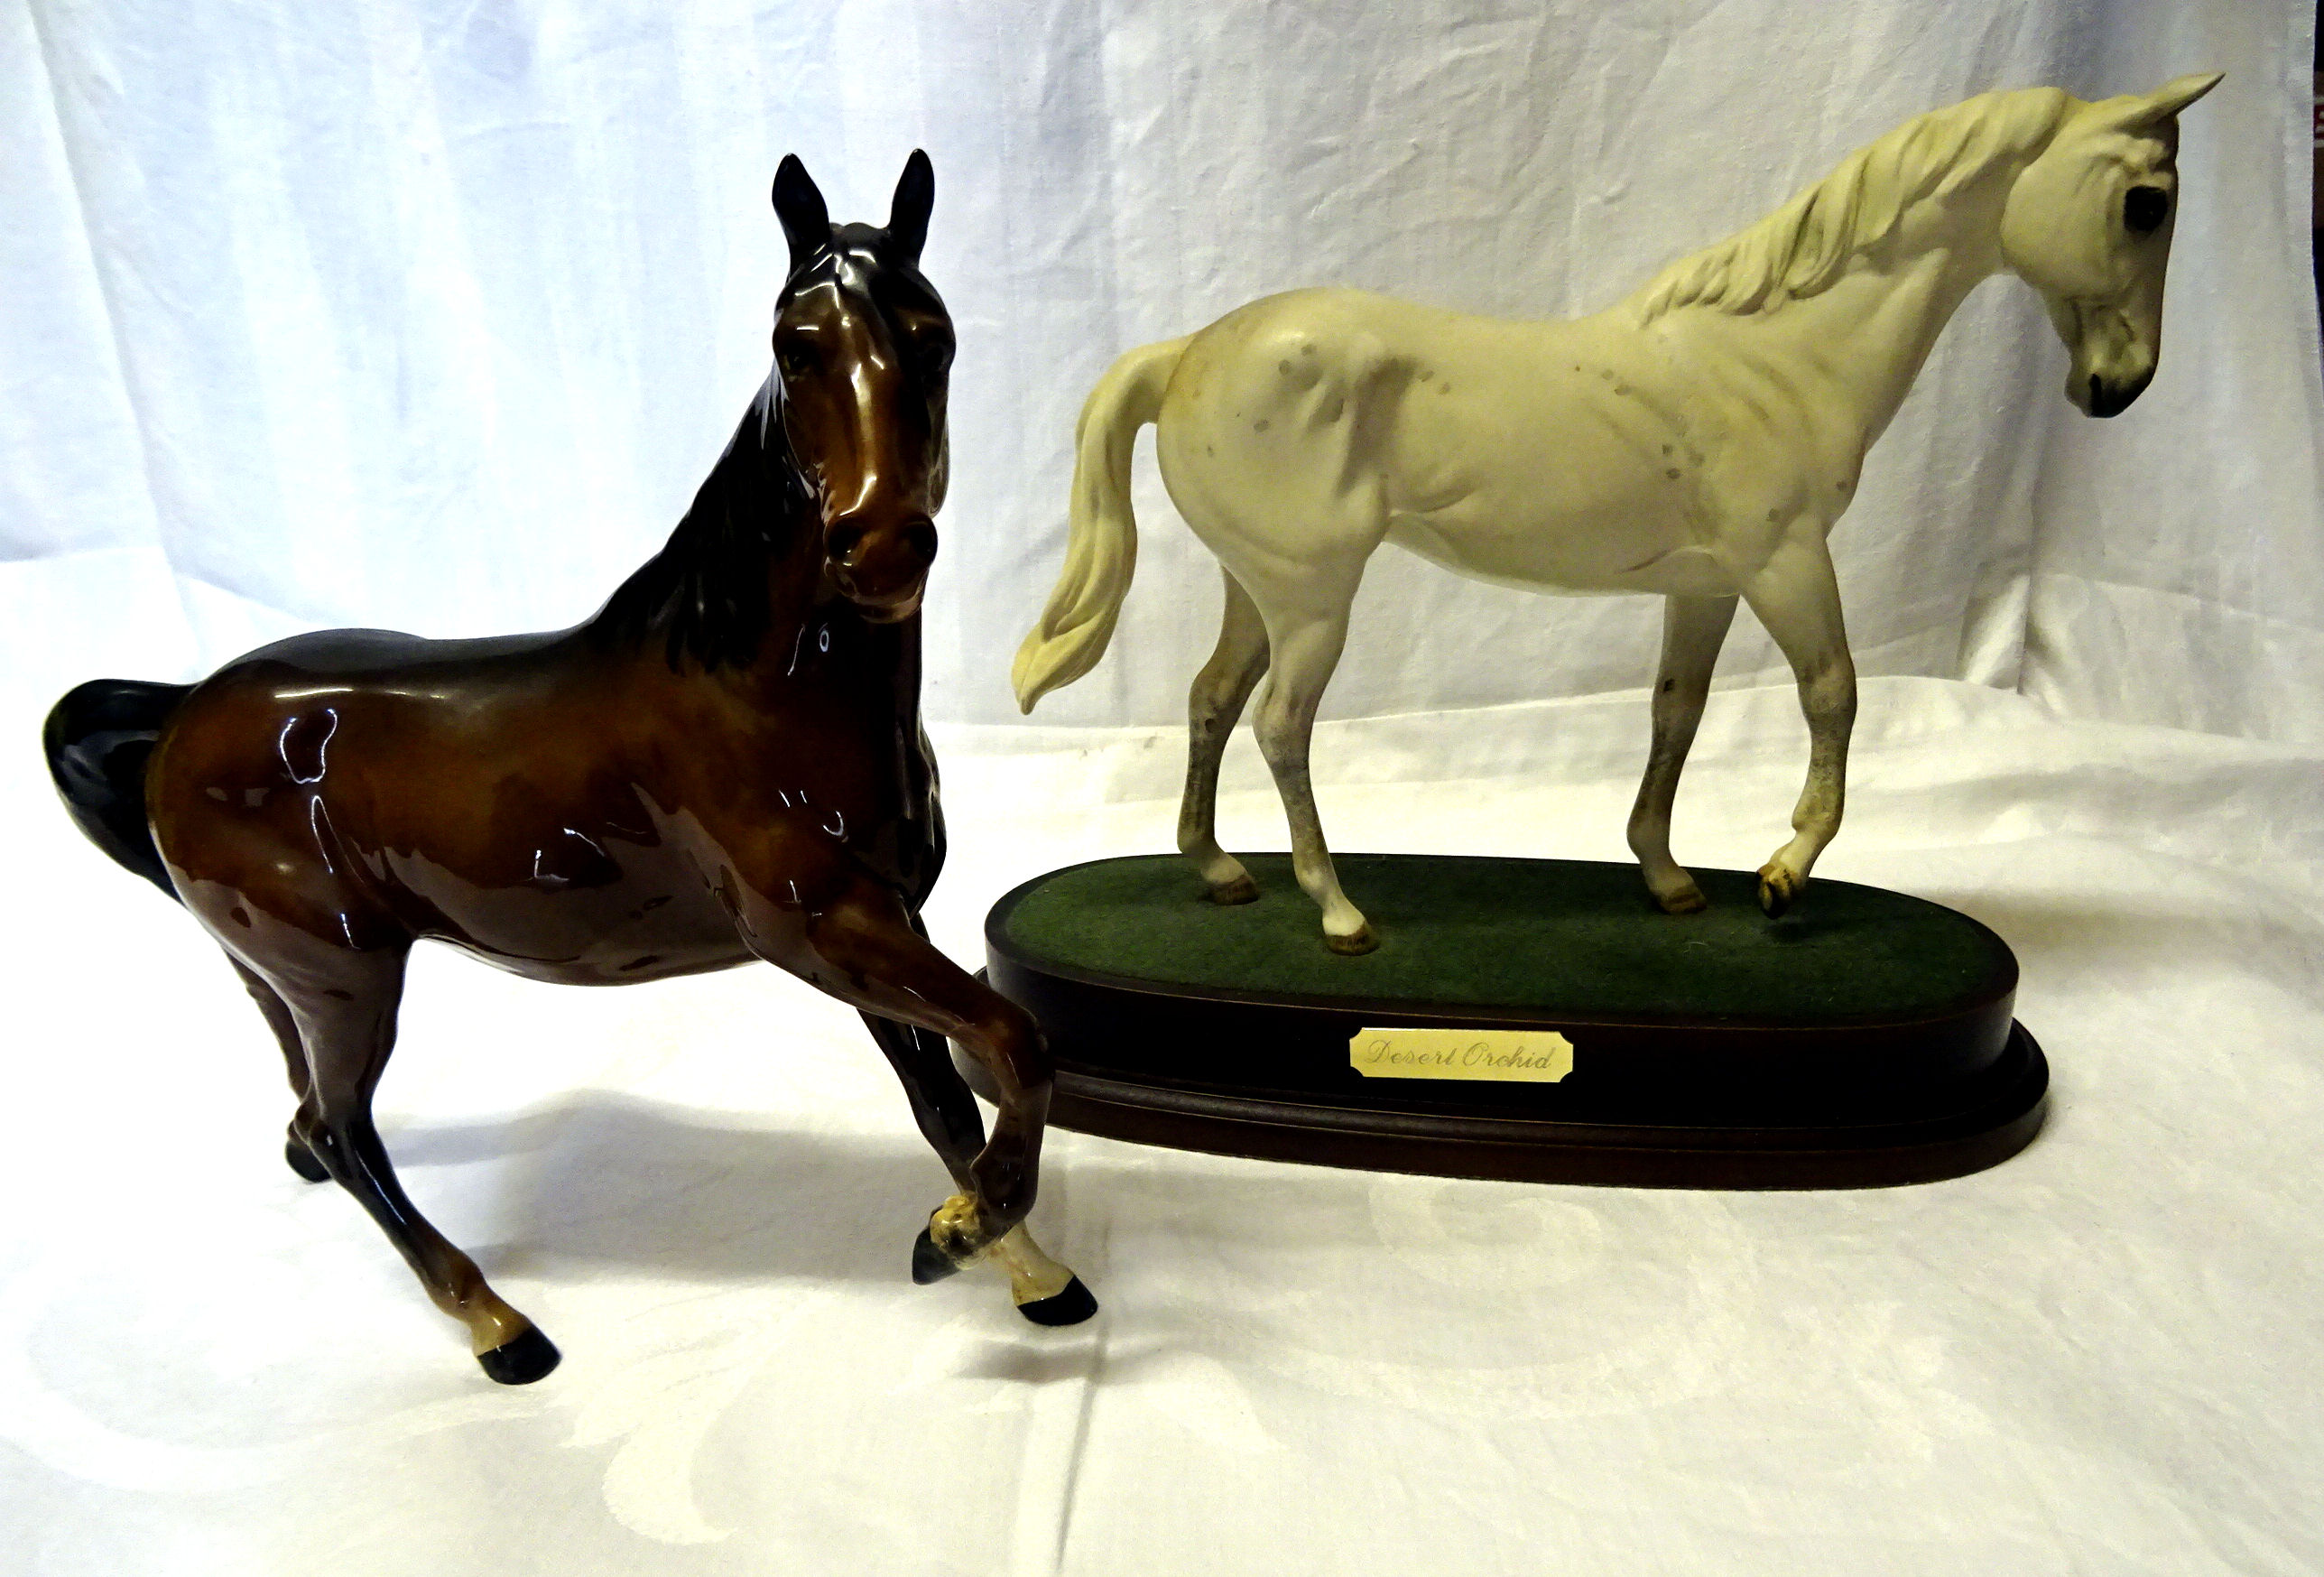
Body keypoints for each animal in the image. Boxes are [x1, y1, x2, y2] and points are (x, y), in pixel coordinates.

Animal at [36, 148, 1088, 1386]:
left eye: (934, 337)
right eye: (795, 342)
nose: (877, 549)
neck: (758, 689)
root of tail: (184, 712)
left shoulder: (885, 923)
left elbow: (946, 1106)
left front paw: (1028, 1270)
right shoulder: (822, 927)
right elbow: (1016, 1042)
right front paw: (958, 1238)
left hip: (275, 966)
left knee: (303, 1101)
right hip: (348, 978)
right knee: (350, 1132)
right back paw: (500, 1327)